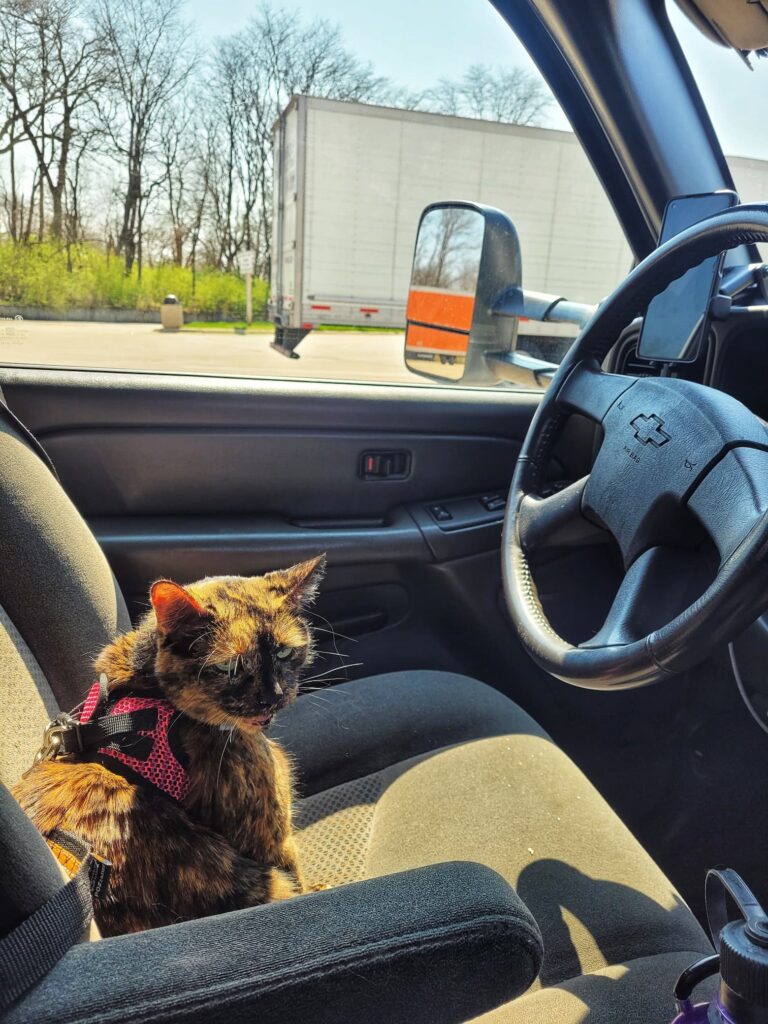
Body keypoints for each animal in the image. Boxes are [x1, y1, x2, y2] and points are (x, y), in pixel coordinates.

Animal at [13, 561, 325, 937]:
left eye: (283, 652)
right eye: (229, 667)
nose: (273, 697)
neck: (151, 686)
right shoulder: (270, 836)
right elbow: (298, 876)